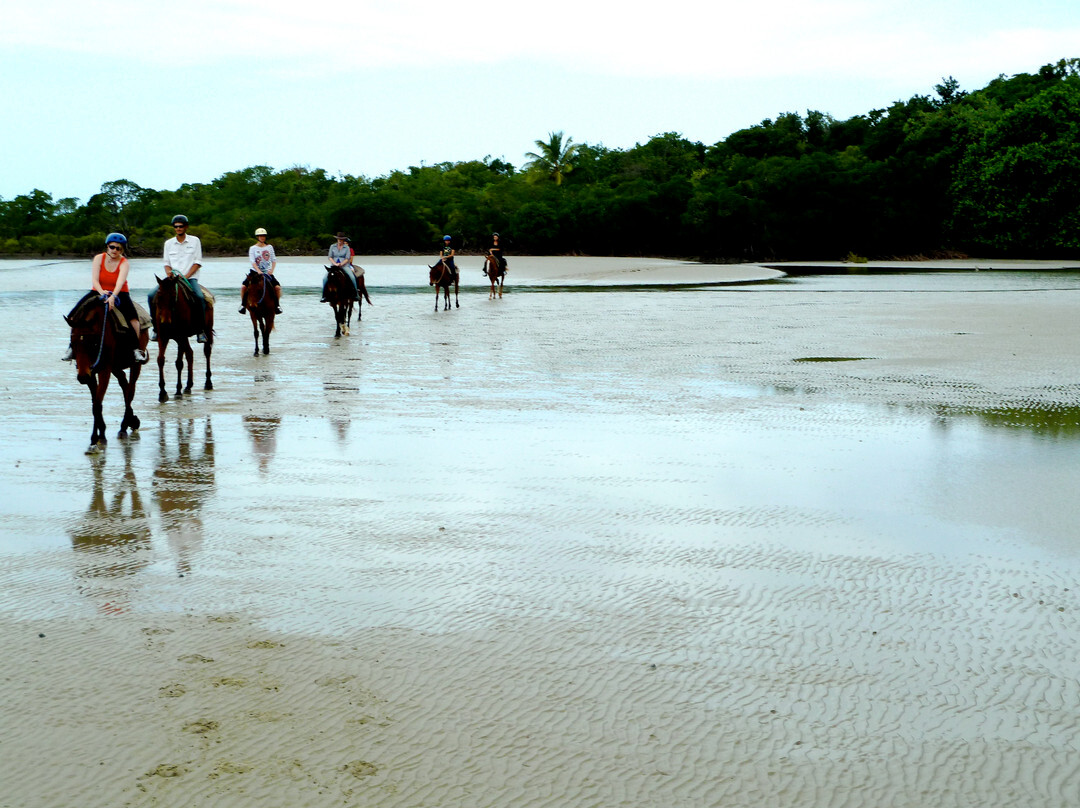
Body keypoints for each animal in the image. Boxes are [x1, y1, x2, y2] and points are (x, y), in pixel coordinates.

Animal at [65, 293, 150, 453]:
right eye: (73, 343)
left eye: (92, 343)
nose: (82, 377)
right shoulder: (91, 372)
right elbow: (95, 404)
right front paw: (100, 435)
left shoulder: (104, 370)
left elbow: (97, 404)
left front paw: (95, 440)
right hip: (115, 367)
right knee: (124, 384)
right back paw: (132, 420)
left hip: (135, 364)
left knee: (130, 390)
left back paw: (124, 426)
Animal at [151, 274, 214, 402]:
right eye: (159, 296)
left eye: (172, 297)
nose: (165, 322)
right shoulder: (164, 336)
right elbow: (161, 360)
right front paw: (162, 392)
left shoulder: (181, 336)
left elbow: (185, 357)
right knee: (185, 356)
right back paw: (184, 387)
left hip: (207, 330)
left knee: (206, 352)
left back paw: (207, 383)